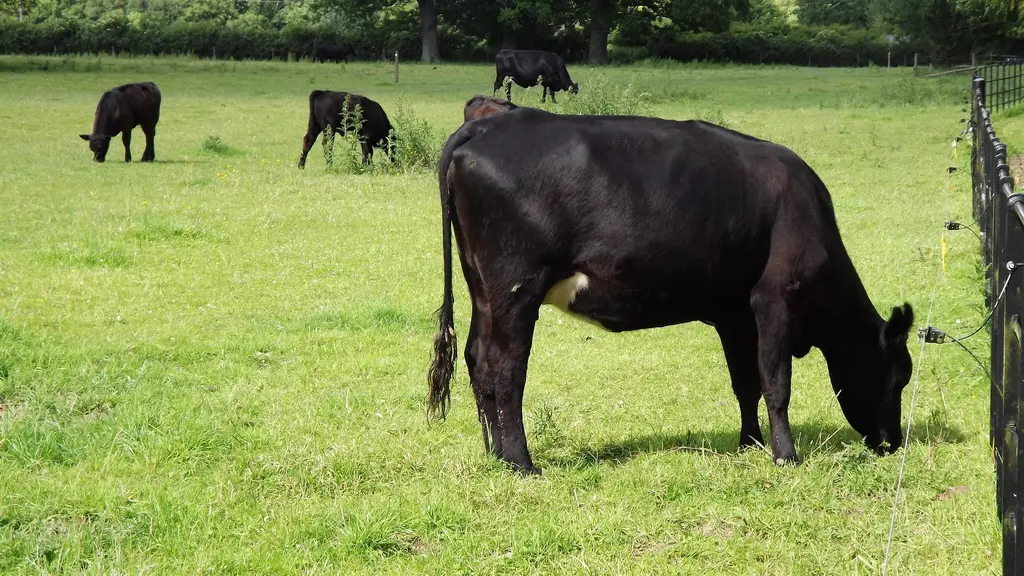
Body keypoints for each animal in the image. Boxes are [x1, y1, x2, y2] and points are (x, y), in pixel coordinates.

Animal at [426, 108, 915, 475]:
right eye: (899, 376)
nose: (892, 443)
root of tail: (487, 126)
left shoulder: (734, 314)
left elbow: (746, 383)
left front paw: (750, 443)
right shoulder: (776, 298)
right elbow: (777, 384)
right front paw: (786, 456)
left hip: (483, 288)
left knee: (476, 358)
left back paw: (494, 453)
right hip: (516, 287)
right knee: (505, 368)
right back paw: (521, 462)